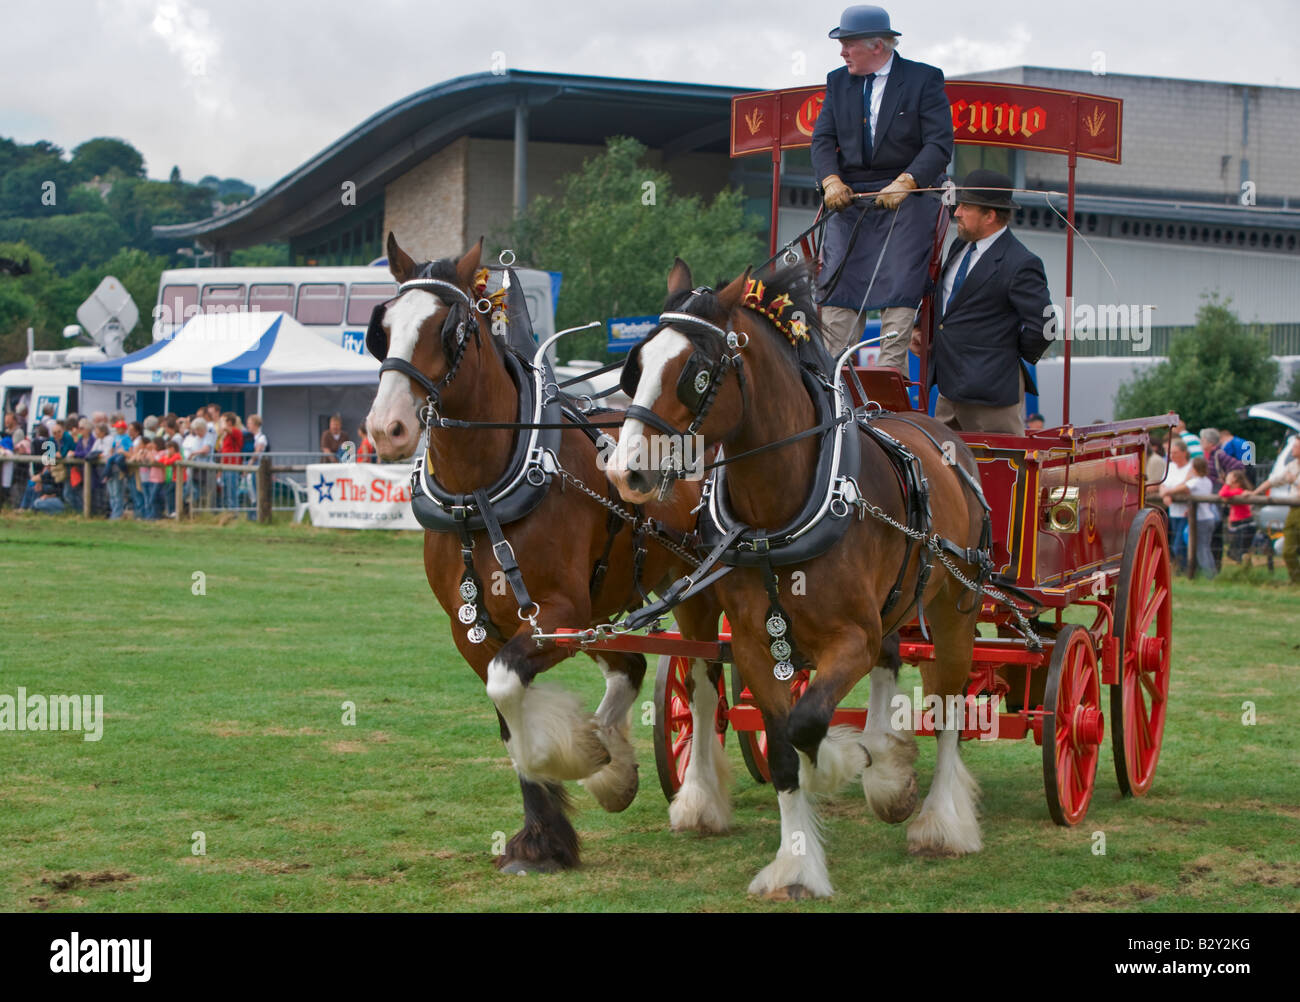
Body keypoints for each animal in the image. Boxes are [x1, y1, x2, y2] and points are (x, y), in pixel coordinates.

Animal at [366, 236, 728, 878]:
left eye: (449, 329)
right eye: (382, 329)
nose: (388, 428)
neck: (481, 495)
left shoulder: (557, 612)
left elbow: (510, 691)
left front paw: (575, 760)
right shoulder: (476, 629)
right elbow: (507, 712)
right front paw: (545, 837)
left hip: (696, 590)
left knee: (706, 683)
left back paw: (696, 795)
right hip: (606, 603)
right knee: (631, 665)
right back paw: (616, 762)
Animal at [608, 258, 982, 899]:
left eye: (696, 374)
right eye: (637, 366)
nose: (624, 472)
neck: (780, 512)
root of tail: (941, 431)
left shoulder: (849, 638)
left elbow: (809, 724)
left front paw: (849, 763)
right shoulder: (757, 646)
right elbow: (784, 746)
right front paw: (797, 862)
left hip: (955, 605)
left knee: (950, 708)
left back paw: (938, 821)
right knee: (889, 659)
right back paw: (886, 766)